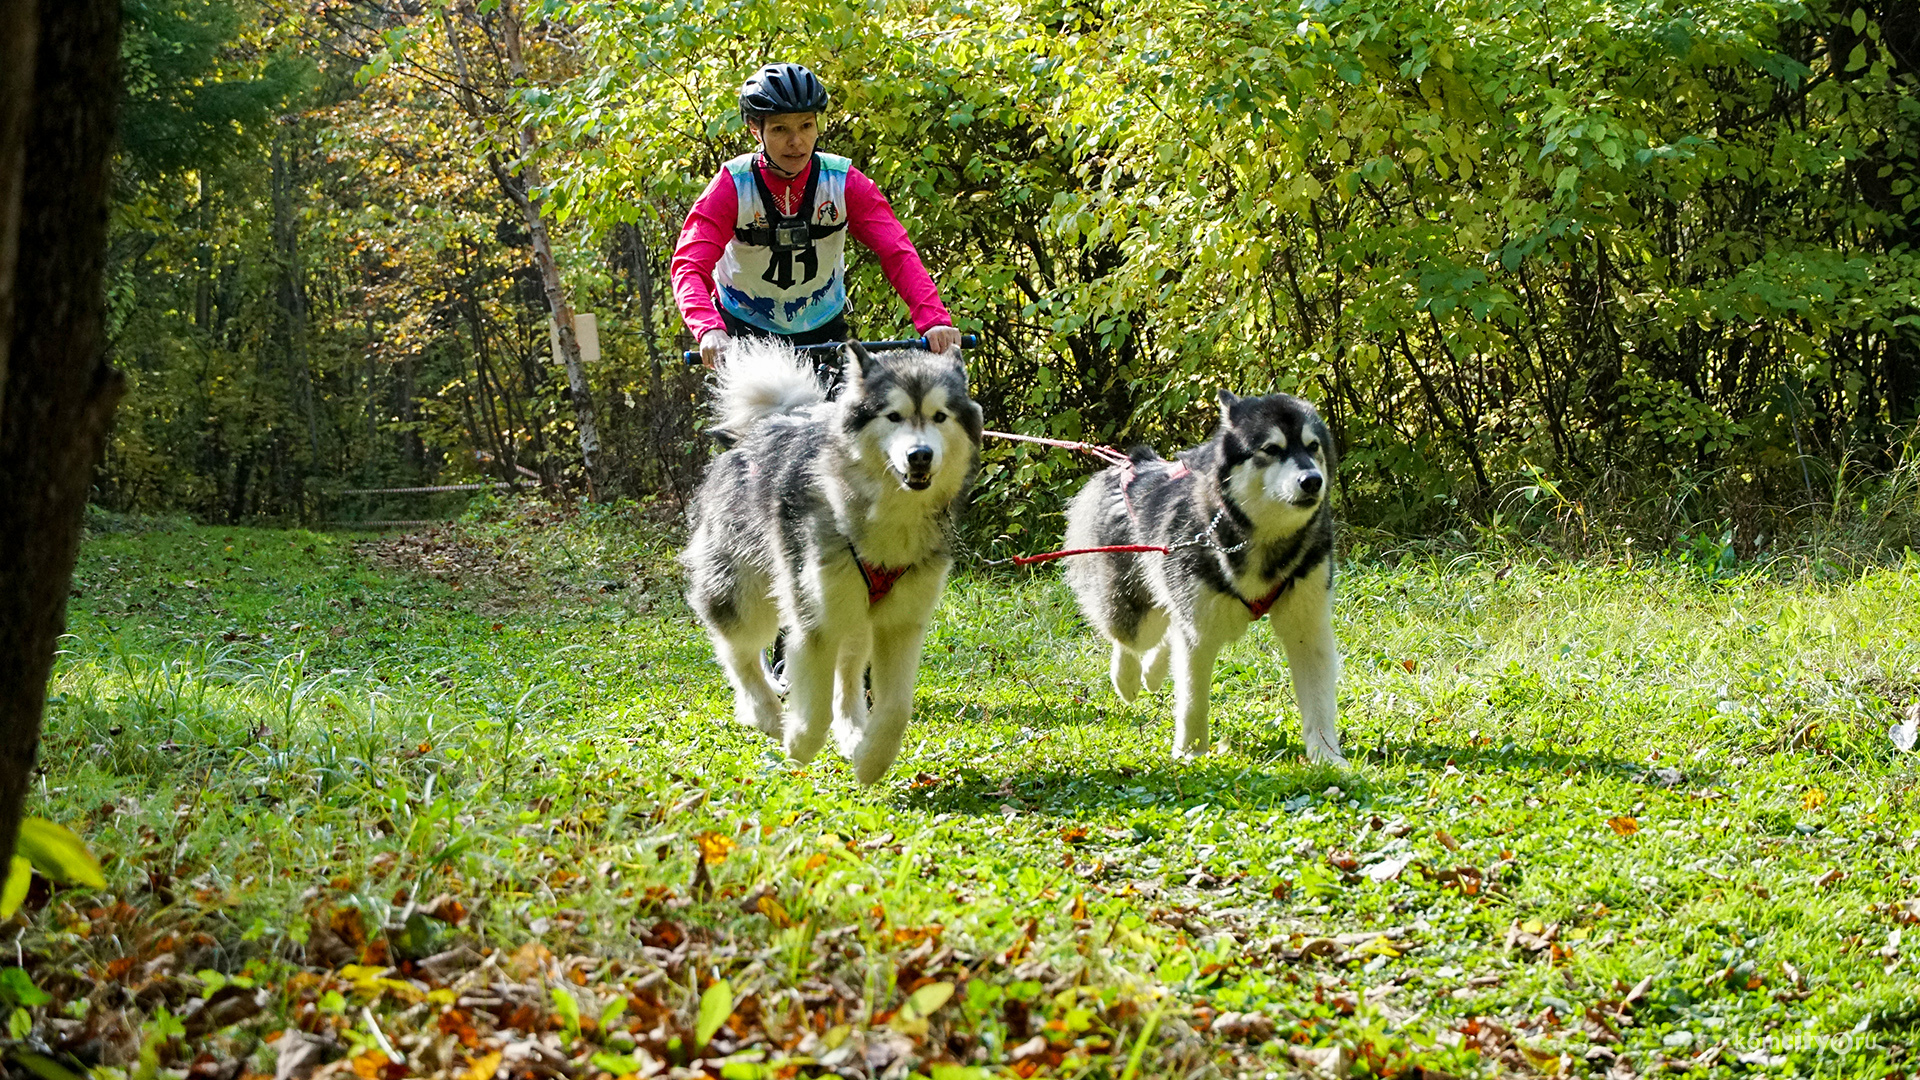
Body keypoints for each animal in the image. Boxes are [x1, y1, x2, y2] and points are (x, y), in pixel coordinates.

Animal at [683, 336, 983, 780]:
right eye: (893, 416)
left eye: (939, 416)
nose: (920, 455)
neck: (888, 514)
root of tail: (758, 429)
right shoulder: (816, 619)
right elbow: (815, 707)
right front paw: (798, 745)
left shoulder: (901, 624)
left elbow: (896, 709)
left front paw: (871, 760)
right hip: (749, 595)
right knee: (737, 650)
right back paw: (766, 714)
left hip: (856, 614)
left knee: (849, 670)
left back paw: (852, 731)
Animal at [1059, 390, 1344, 760]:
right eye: (1271, 448)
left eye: (1313, 446)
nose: (1312, 481)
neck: (1262, 539)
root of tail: (1135, 464)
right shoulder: (1199, 632)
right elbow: (1193, 700)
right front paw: (1190, 754)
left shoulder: (1307, 628)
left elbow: (1319, 704)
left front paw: (1327, 756)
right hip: (1139, 608)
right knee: (1131, 637)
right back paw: (1128, 679)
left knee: (1168, 628)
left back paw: (1152, 672)